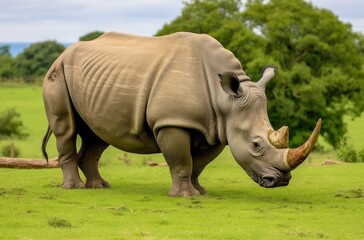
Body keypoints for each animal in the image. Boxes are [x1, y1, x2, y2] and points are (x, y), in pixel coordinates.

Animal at [42, 31, 322, 197]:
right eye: (255, 145)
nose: (281, 180)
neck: (225, 100)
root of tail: (63, 53)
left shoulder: (217, 127)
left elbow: (198, 164)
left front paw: (201, 192)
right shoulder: (172, 122)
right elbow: (182, 160)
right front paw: (185, 196)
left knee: (98, 134)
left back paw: (99, 187)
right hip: (57, 73)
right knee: (67, 129)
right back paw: (75, 188)